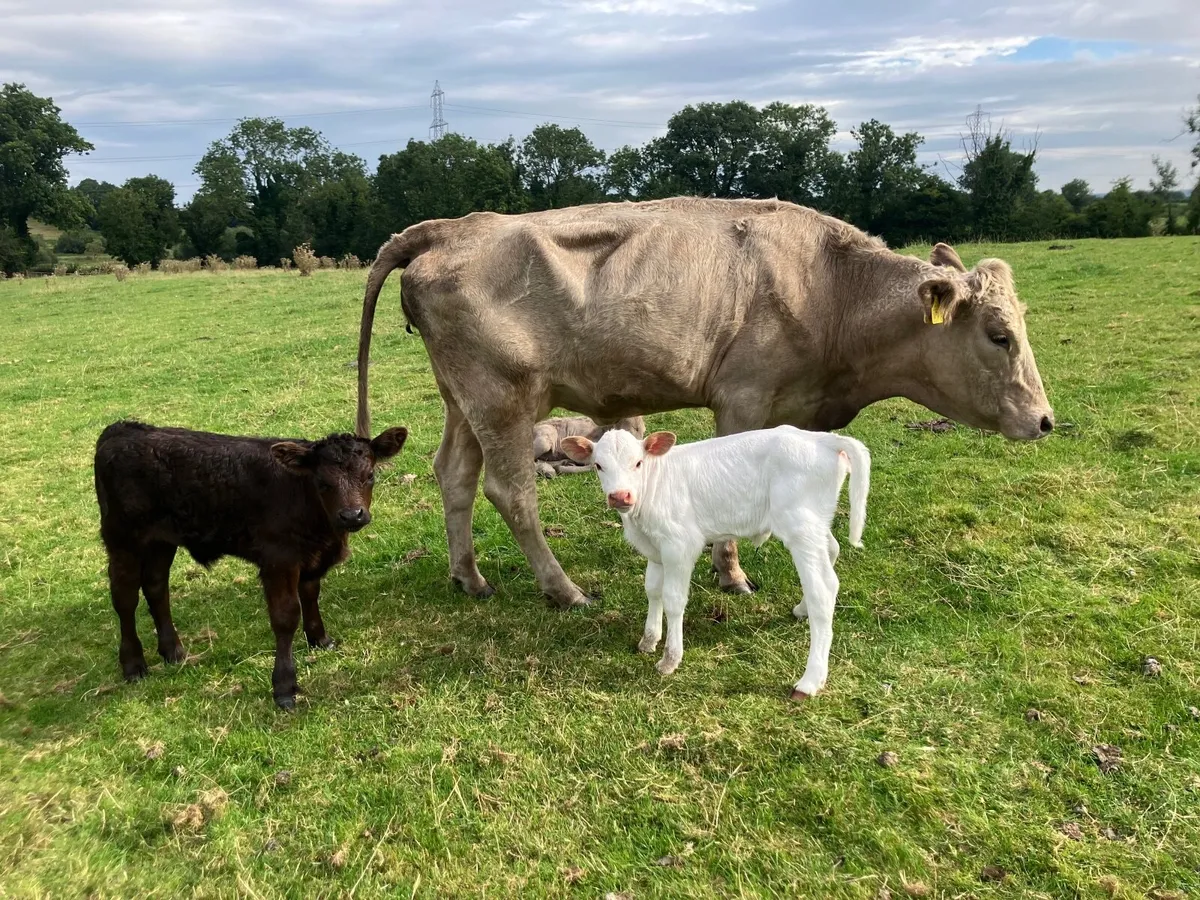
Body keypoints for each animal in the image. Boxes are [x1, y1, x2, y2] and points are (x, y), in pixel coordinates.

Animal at [93, 420, 408, 708]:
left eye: (370, 475)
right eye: (323, 482)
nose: (352, 515)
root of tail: (123, 428)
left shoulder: (311, 556)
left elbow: (310, 595)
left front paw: (320, 639)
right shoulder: (278, 560)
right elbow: (285, 616)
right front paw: (284, 686)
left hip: (161, 540)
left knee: (156, 587)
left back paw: (174, 652)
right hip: (122, 540)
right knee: (125, 598)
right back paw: (134, 665)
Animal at [356, 196, 1053, 611]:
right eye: (999, 334)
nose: (1044, 420)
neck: (832, 288)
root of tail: (453, 226)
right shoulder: (743, 398)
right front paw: (731, 573)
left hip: (463, 400)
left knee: (455, 475)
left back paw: (469, 577)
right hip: (503, 397)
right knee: (511, 491)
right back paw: (563, 589)